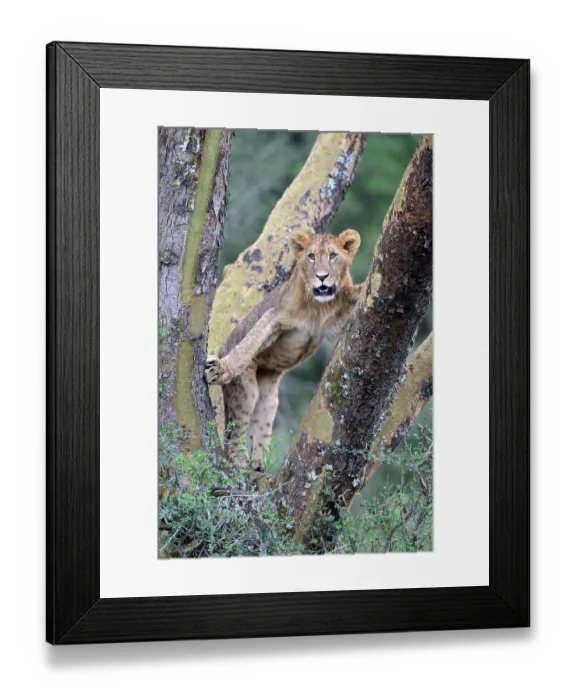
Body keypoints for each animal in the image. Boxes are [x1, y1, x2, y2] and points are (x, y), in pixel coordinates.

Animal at [205, 229, 362, 473]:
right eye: (311, 256)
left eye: (333, 256)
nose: (322, 276)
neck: (320, 306)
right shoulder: (276, 315)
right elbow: (251, 341)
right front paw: (220, 369)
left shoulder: (338, 323)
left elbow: (356, 295)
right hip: (246, 389)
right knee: (234, 431)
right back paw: (239, 460)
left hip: (269, 397)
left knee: (261, 426)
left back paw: (259, 464)